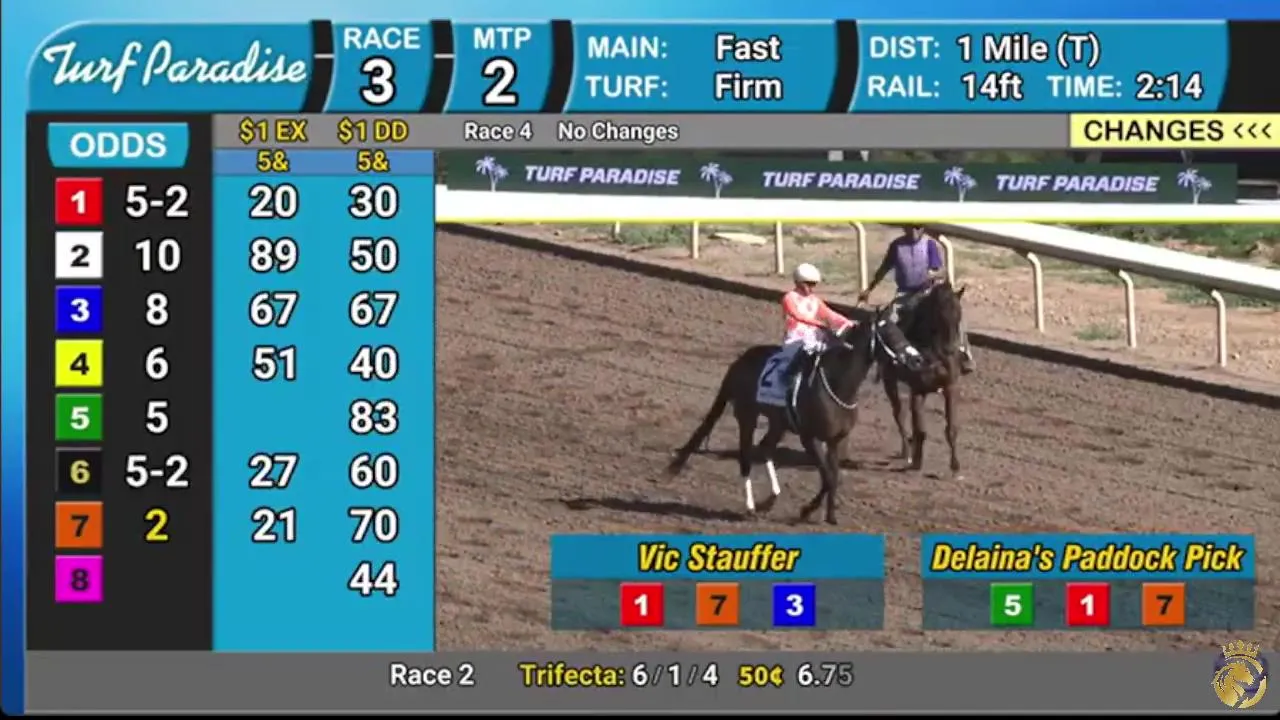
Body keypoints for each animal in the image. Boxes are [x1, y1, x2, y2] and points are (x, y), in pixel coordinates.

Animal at [665, 320, 879, 525]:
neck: (837, 383)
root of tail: (740, 360)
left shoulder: (835, 440)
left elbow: (833, 478)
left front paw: (830, 516)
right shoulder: (810, 438)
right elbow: (828, 478)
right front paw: (806, 511)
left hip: (778, 422)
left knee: (765, 446)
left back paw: (770, 499)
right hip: (747, 415)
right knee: (746, 457)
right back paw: (751, 507)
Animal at [873, 280, 967, 477]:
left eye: (959, 314)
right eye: (941, 315)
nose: (951, 348)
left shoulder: (950, 386)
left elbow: (952, 428)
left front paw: (955, 466)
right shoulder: (918, 389)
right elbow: (920, 429)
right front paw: (916, 461)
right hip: (888, 378)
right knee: (899, 413)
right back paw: (907, 452)